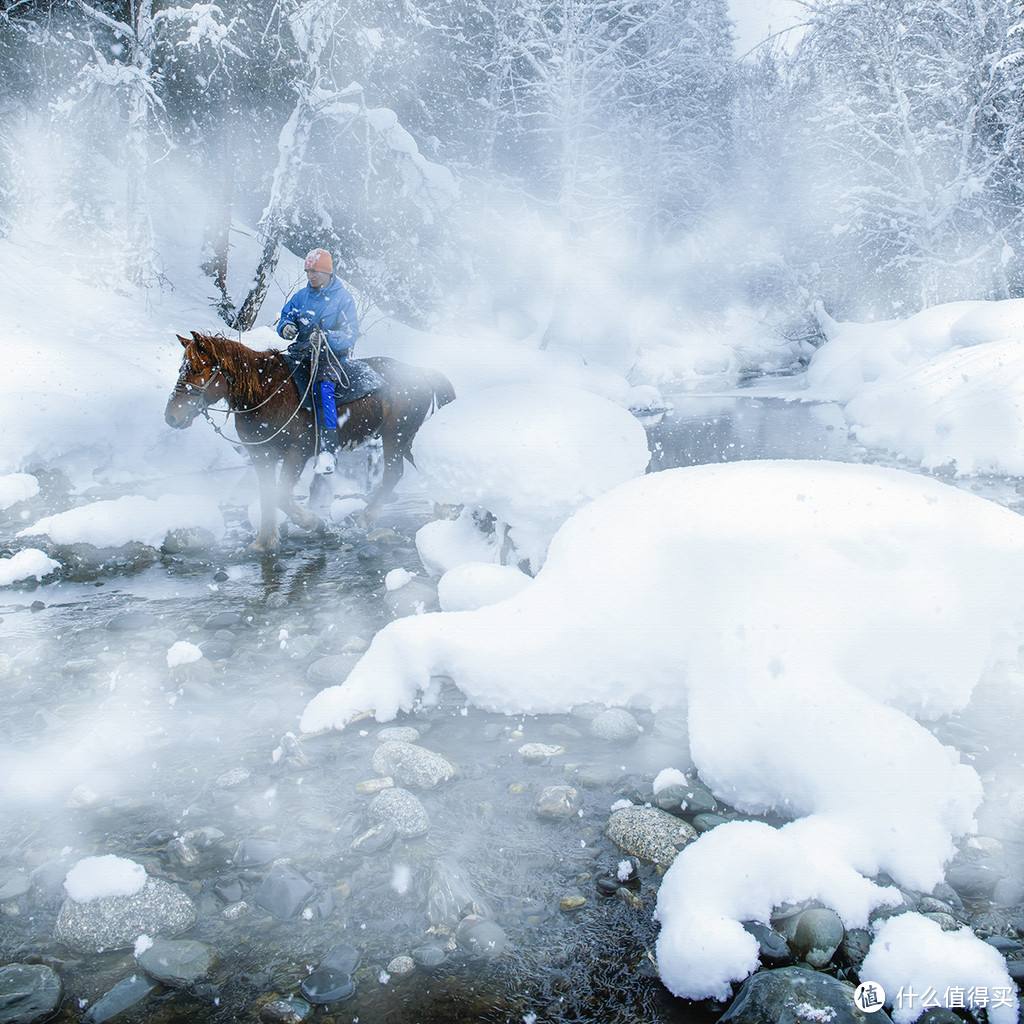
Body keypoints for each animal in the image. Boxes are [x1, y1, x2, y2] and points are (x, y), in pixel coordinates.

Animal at [165, 331, 454, 552]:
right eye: (181, 369)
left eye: (196, 369)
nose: (171, 417)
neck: (266, 393)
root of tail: (421, 372)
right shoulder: (261, 455)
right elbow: (268, 495)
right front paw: (264, 542)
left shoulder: (297, 453)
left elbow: (282, 495)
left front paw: (316, 524)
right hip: (402, 439)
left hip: (396, 436)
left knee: (394, 473)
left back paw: (365, 518)